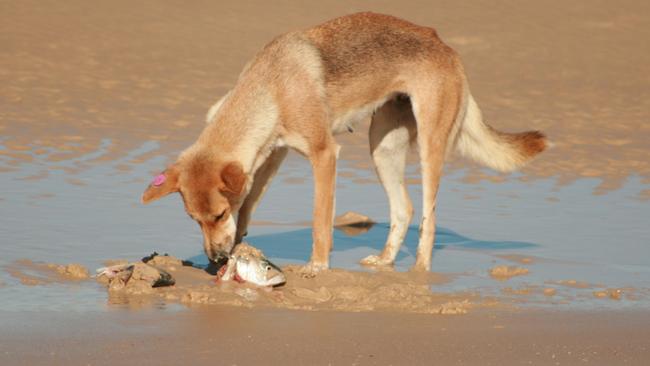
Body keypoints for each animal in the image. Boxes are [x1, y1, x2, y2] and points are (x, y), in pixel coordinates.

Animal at [139, 12, 544, 272]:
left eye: (218, 215)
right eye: (195, 220)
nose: (217, 260)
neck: (272, 85)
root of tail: (442, 43)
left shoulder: (323, 155)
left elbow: (320, 220)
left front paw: (317, 266)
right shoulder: (271, 156)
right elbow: (250, 204)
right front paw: (240, 249)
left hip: (430, 150)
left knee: (428, 219)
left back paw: (419, 272)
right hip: (382, 149)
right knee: (404, 209)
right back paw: (385, 261)